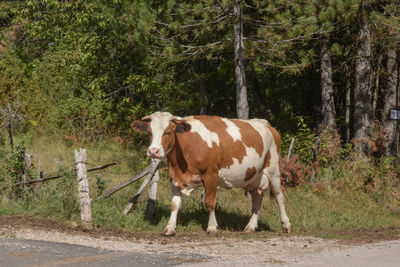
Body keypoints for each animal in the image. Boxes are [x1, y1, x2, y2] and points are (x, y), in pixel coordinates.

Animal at [133, 112, 292, 237]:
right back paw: (250, 227)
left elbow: (209, 202)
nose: (153, 151)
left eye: (168, 132)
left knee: (279, 197)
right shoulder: (175, 176)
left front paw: (212, 227)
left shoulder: (211, 174)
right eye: (149, 132)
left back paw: (286, 225)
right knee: (257, 199)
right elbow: (175, 204)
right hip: (253, 176)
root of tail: (265, 123)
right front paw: (170, 228)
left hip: (274, 170)